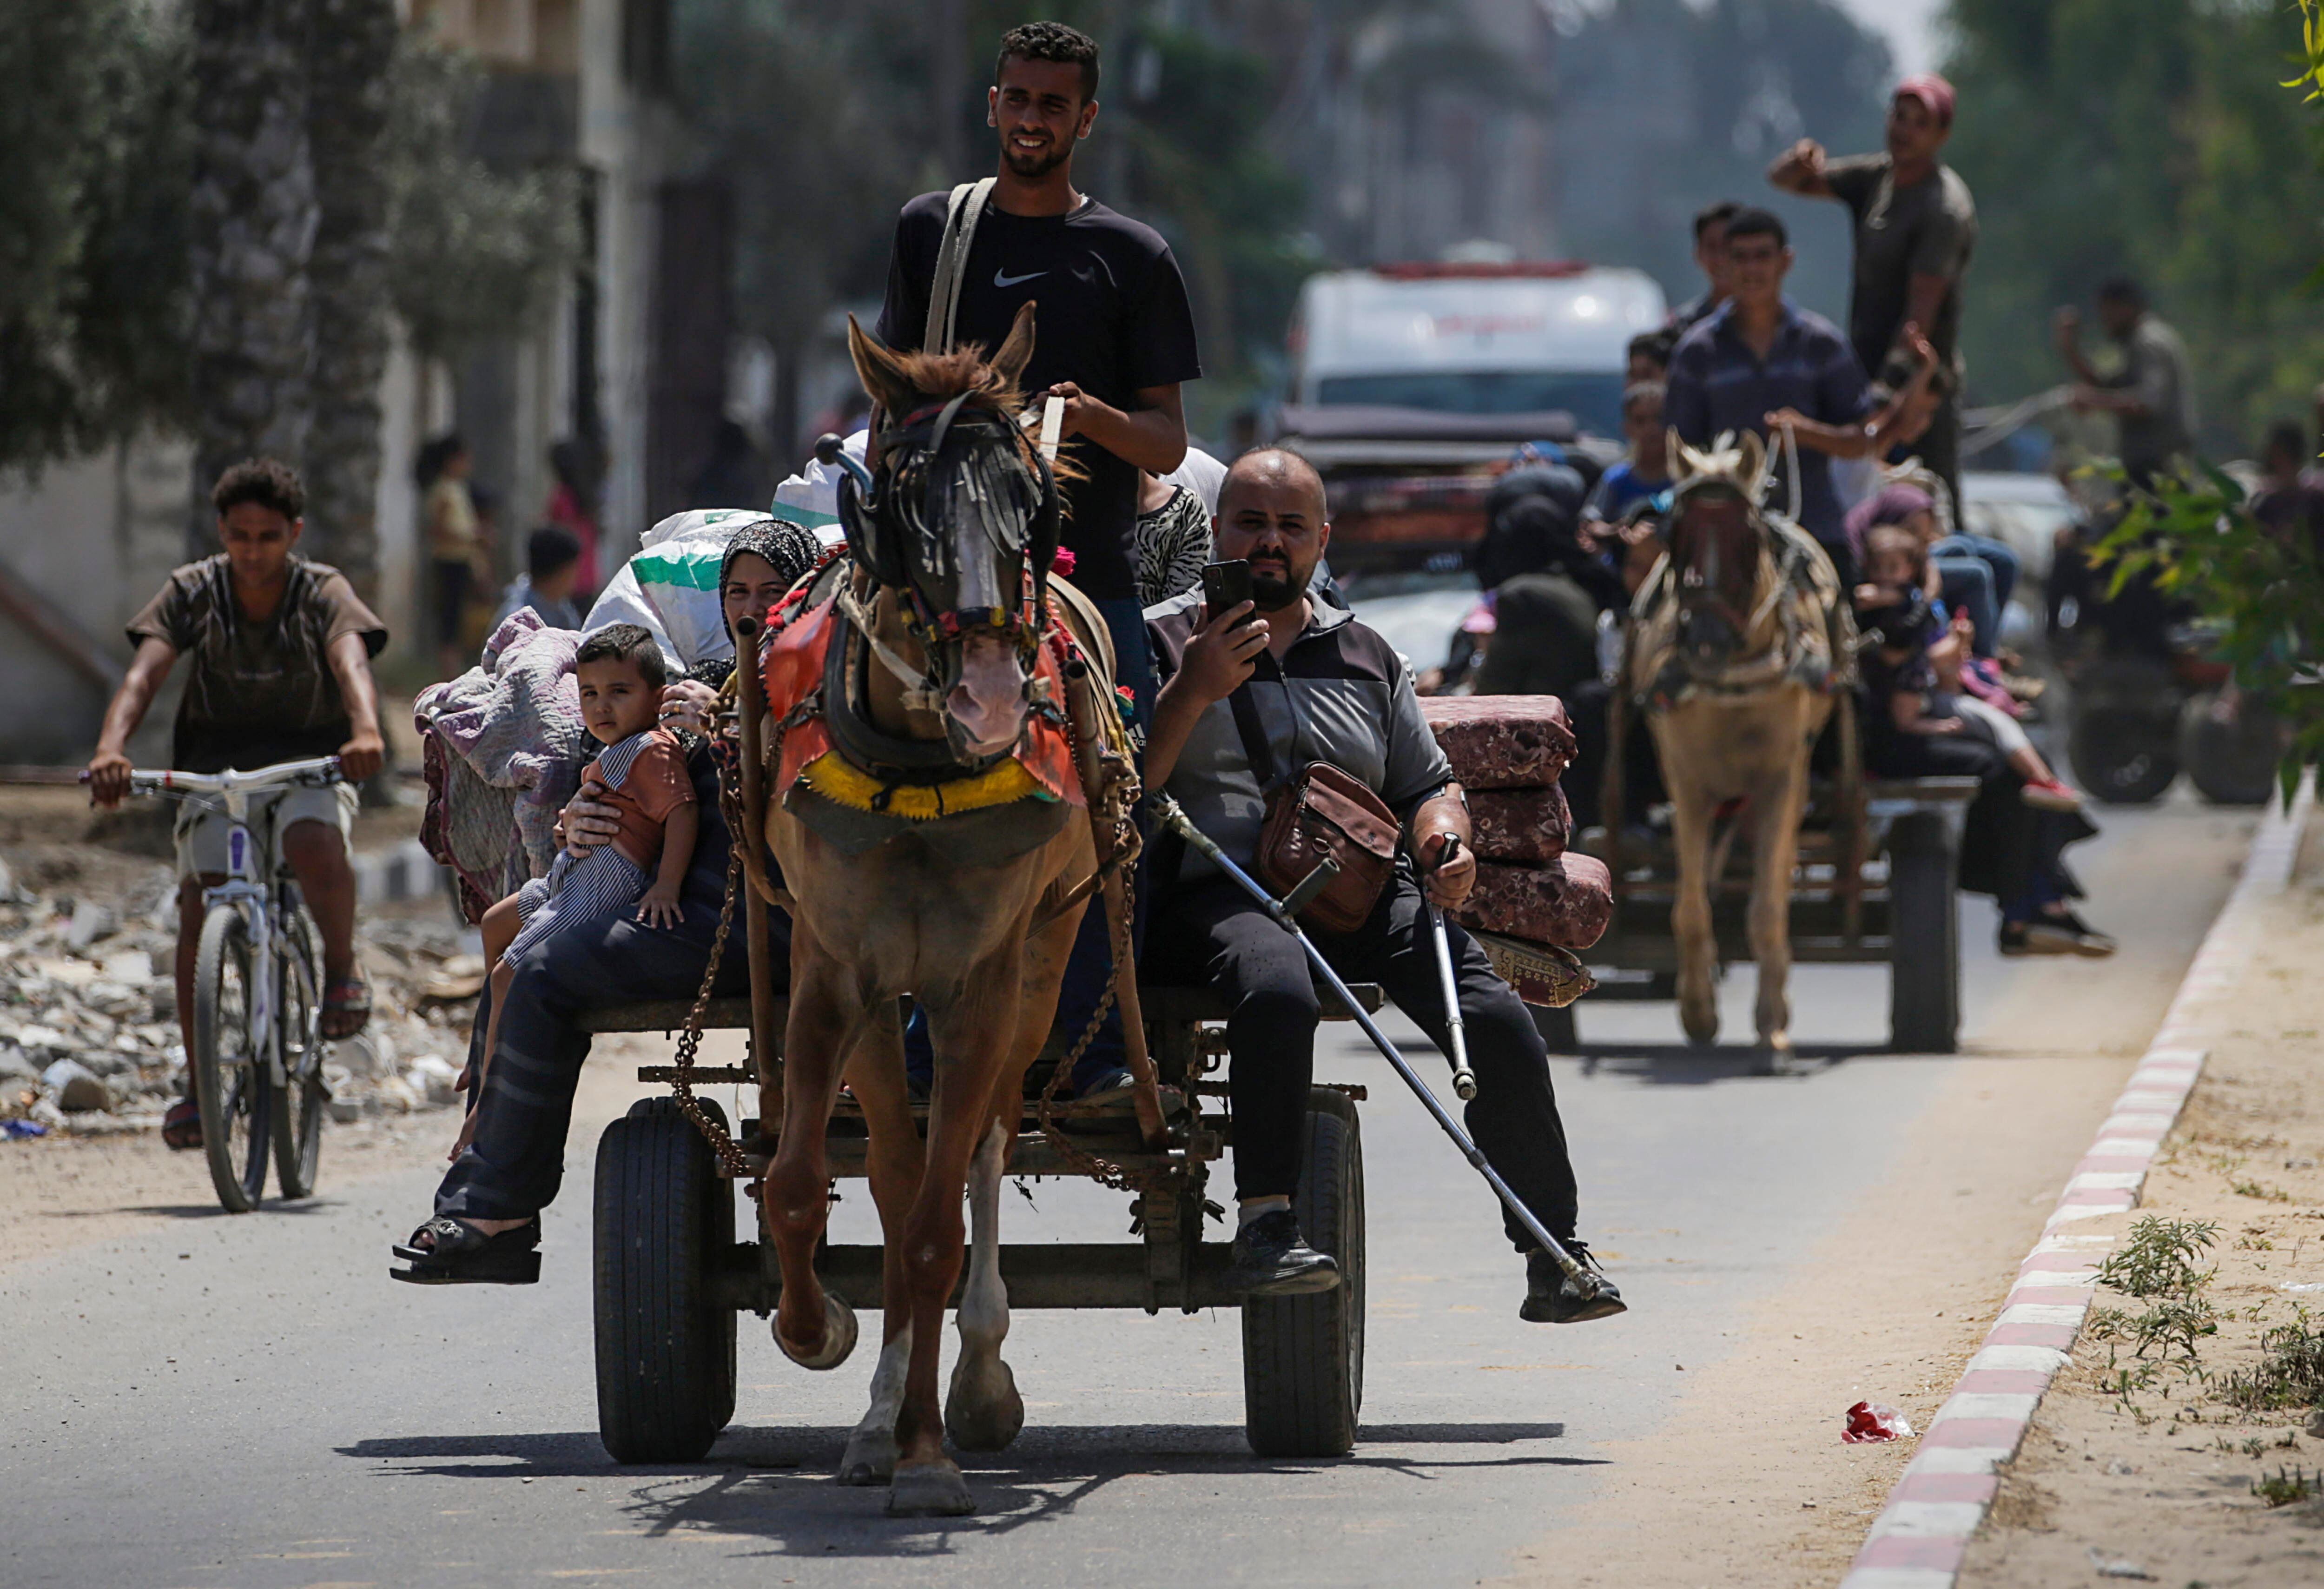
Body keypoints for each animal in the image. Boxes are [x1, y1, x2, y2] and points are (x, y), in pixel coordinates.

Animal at [758, 302, 1129, 1515]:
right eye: (903, 489)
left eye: (1029, 493)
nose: (992, 691)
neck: (920, 766)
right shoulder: (833, 968)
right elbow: (798, 1183)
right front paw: (820, 1331)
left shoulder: (980, 983)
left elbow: (934, 1231)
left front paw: (932, 1449)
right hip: (885, 1001)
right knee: (887, 1165)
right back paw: (875, 1411)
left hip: (1041, 964)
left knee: (977, 1154)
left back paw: (969, 1379)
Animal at [1618, 427, 1850, 1059]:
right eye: (1674, 536)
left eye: (1749, 538)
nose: (1703, 644)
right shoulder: (1686, 782)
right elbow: (1690, 907)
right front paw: (1697, 1010)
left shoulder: (1781, 778)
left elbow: (1767, 905)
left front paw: (1772, 1022)